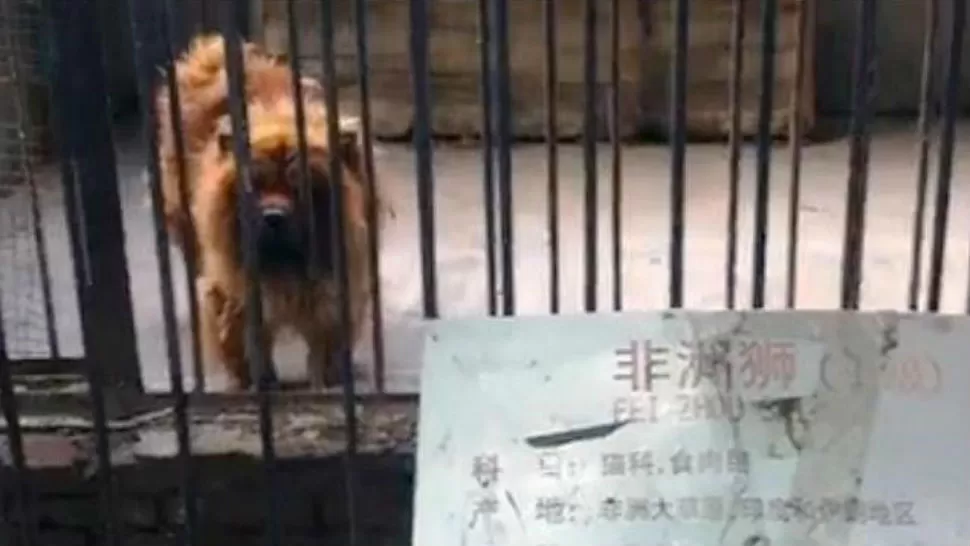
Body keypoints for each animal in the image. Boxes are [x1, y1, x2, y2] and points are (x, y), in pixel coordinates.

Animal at [155, 34, 374, 388]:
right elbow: (243, 339)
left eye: (302, 188)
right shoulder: (236, 290)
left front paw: (327, 378)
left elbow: (328, 339)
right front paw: (257, 381)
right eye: (254, 186)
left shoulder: (338, 284)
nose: (273, 216)